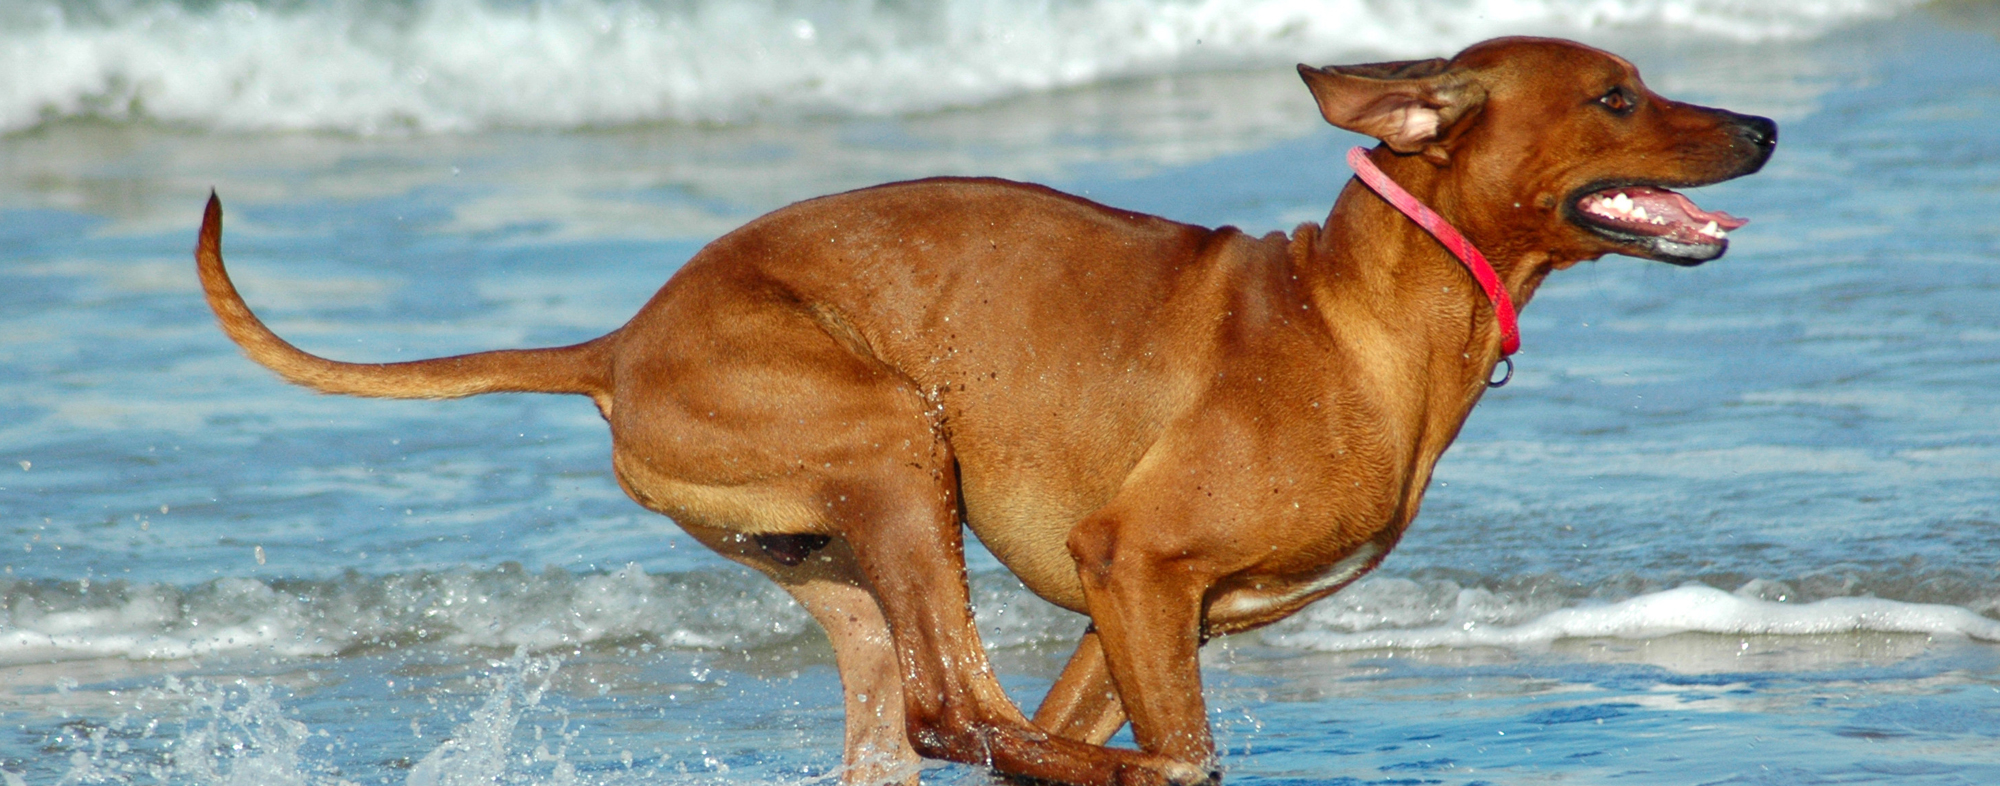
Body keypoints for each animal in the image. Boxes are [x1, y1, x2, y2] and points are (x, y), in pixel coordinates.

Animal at [195, 35, 1776, 784]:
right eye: (1618, 96)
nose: (1765, 126)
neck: (1362, 310)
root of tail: (623, 338)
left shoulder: (1138, 609)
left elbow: (1098, 711)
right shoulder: (1134, 563)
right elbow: (1169, 734)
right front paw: (1159, 764)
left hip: (841, 557)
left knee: (924, 715)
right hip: (898, 440)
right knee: (958, 708)